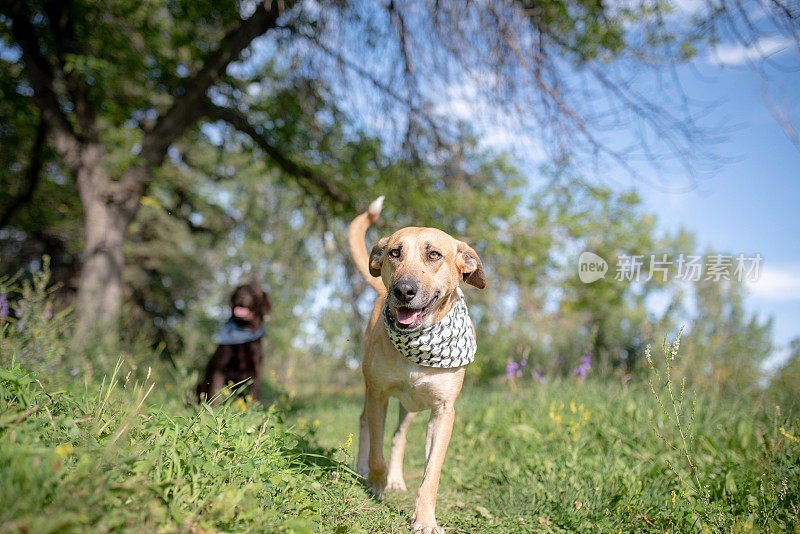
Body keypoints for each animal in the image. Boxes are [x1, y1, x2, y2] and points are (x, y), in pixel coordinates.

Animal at [346, 198, 484, 534]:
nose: (403, 290)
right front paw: (376, 486)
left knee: (399, 436)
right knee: (365, 423)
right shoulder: (378, 395)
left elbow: (431, 472)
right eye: (395, 252)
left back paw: (396, 479)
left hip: (410, 407)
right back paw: (363, 469)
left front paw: (424, 518)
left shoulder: (444, 412)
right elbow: (377, 453)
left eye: (434, 254)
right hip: (373, 390)